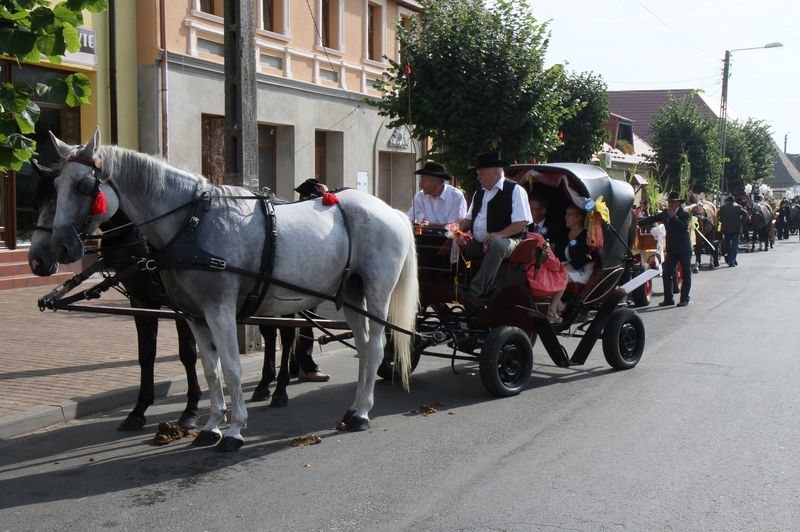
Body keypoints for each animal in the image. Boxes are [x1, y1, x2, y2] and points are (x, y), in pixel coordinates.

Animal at [28, 164, 296, 430]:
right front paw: (139, 410)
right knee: (270, 334)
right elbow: (146, 353)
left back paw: (280, 389)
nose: (37, 260)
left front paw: (190, 410)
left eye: (57, 202)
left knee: (287, 335)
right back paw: (264, 384)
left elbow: (187, 353)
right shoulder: (141, 302)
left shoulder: (181, 306)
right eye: (37, 203)